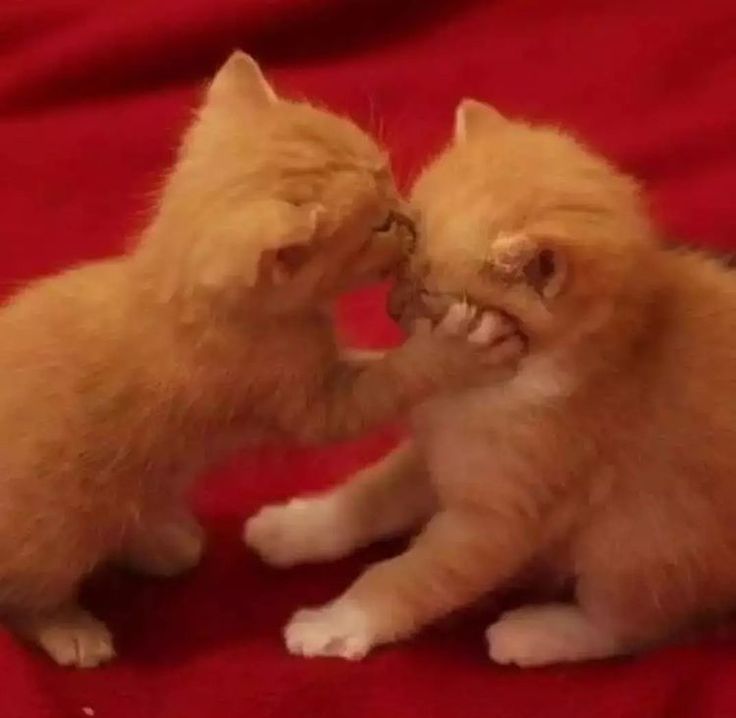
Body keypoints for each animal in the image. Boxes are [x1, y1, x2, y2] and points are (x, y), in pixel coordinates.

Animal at [0, 59, 524, 672]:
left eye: (387, 173)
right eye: (378, 226)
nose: (413, 218)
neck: (177, 292)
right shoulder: (311, 404)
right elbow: (390, 378)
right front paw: (456, 352)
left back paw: (162, 539)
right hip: (54, 536)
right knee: (24, 594)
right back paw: (68, 627)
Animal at [247, 98, 736, 668]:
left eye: (430, 296)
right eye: (401, 265)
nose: (391, 308)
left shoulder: (498, 519)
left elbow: (409, 576)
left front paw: (338, 621)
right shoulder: (434, 451)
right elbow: (369, 494)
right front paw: (298, 526)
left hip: (641, 540)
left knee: (632, 624)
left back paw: (535, 631)